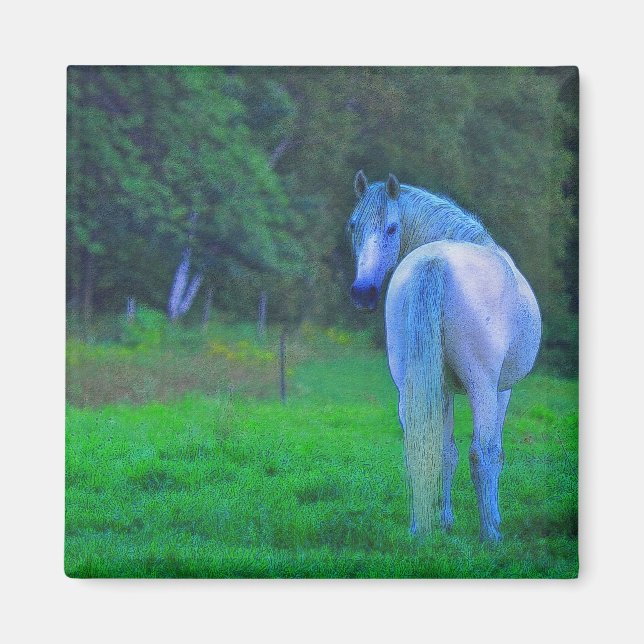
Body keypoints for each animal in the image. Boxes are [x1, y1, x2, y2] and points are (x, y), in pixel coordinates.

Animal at [347, 170, 541, 541]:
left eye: (391, 228)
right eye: (354, 226)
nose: (363, 292)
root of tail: (434, 262)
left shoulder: (443, 388)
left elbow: (445, 451)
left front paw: (445, 520)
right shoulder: (502, 390)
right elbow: (493, 452)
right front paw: (493, 520)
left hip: (411, 385)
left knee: (420, 448)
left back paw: (419, 528)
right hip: (482, 388)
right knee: (482, 453)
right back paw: (490, 534)